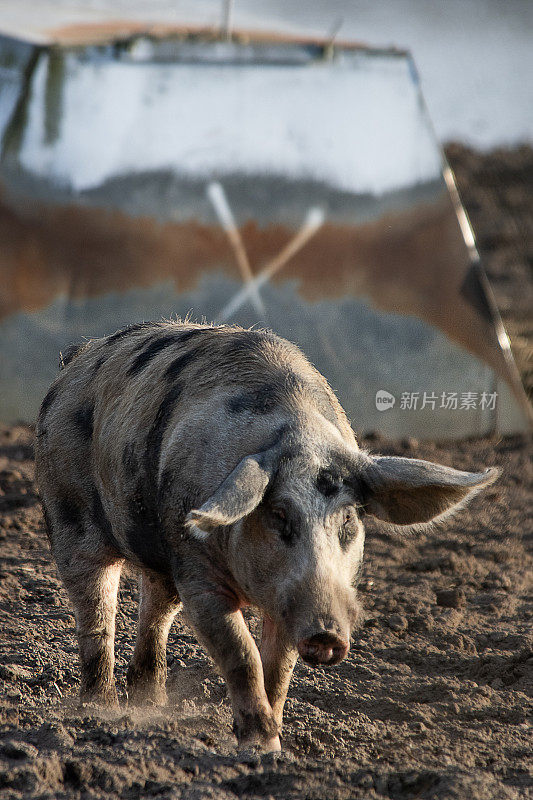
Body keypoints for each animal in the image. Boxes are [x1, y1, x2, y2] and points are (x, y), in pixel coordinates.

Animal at [35, 318, 496, 752]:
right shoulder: (197, 573)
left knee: (156, 610)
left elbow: (279, 670)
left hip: (159, 548)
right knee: (96, 616)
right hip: (68, 516)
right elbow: (244, 655)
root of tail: (78, 356)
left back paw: (151, 707)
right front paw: (260, 748)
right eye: (278, 514)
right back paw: (101, 712)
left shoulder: (283, 602)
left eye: (349, 518)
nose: (326, 634)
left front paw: (274, 743)